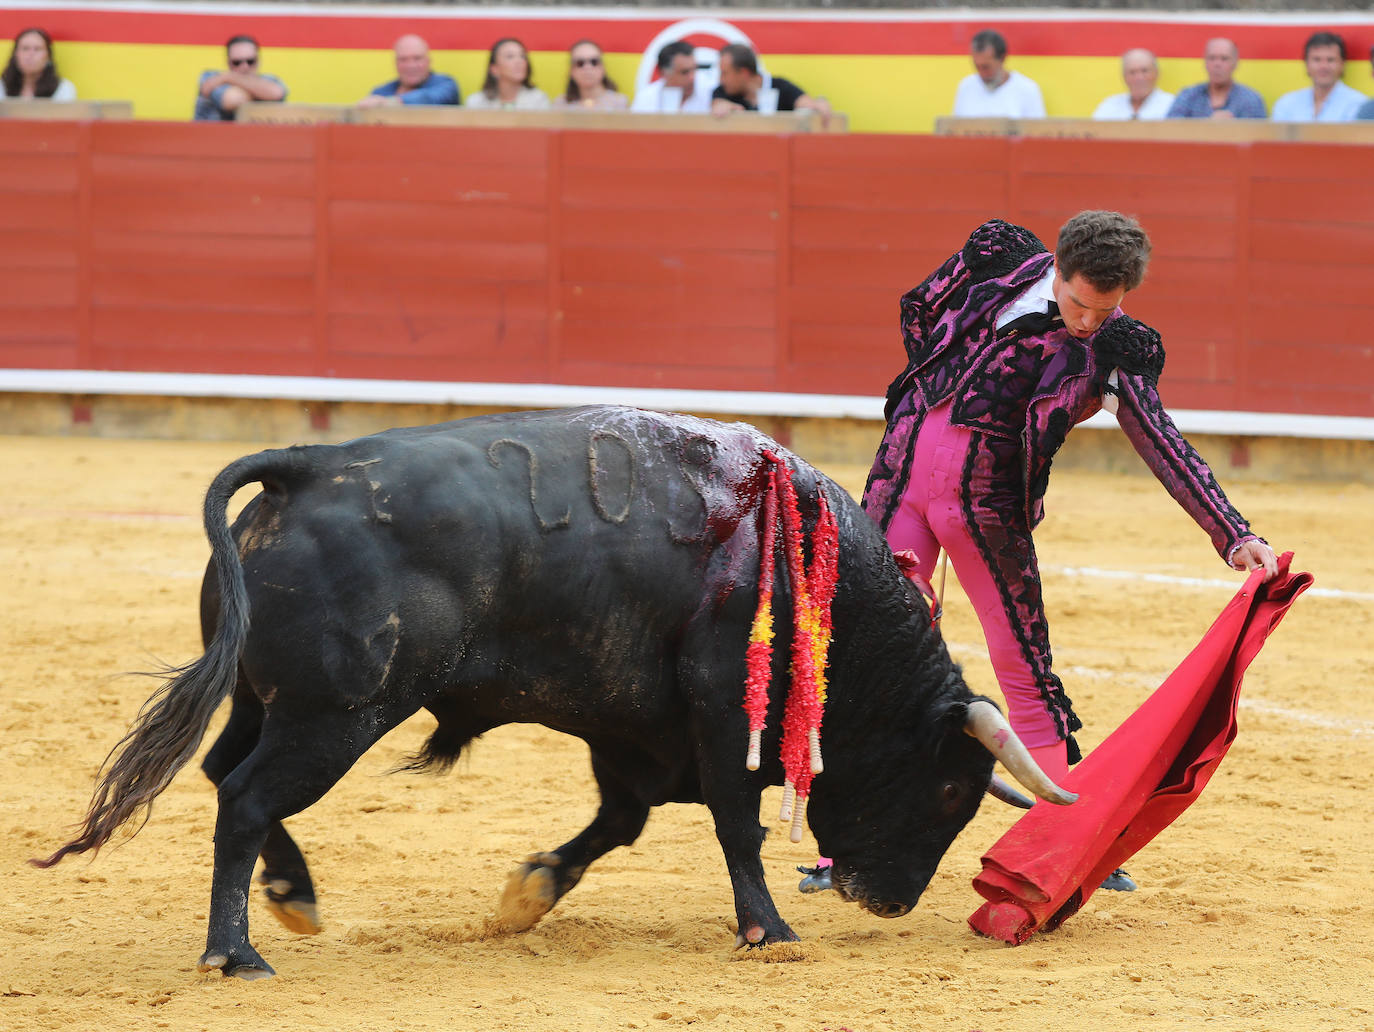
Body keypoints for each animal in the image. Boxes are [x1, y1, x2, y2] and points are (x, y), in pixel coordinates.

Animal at [37, 404, 1066, 978]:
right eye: (949, 789)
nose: (886, 902)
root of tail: (308, 467)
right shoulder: (718, 710)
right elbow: (735, 823)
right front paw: (769, 930)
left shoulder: (630, 724)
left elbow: (620, 821)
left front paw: (528, 893)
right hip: (337, 715)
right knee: (248, 797)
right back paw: (237, 952)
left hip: (268, 701)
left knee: (224, 772)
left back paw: (292, 896)